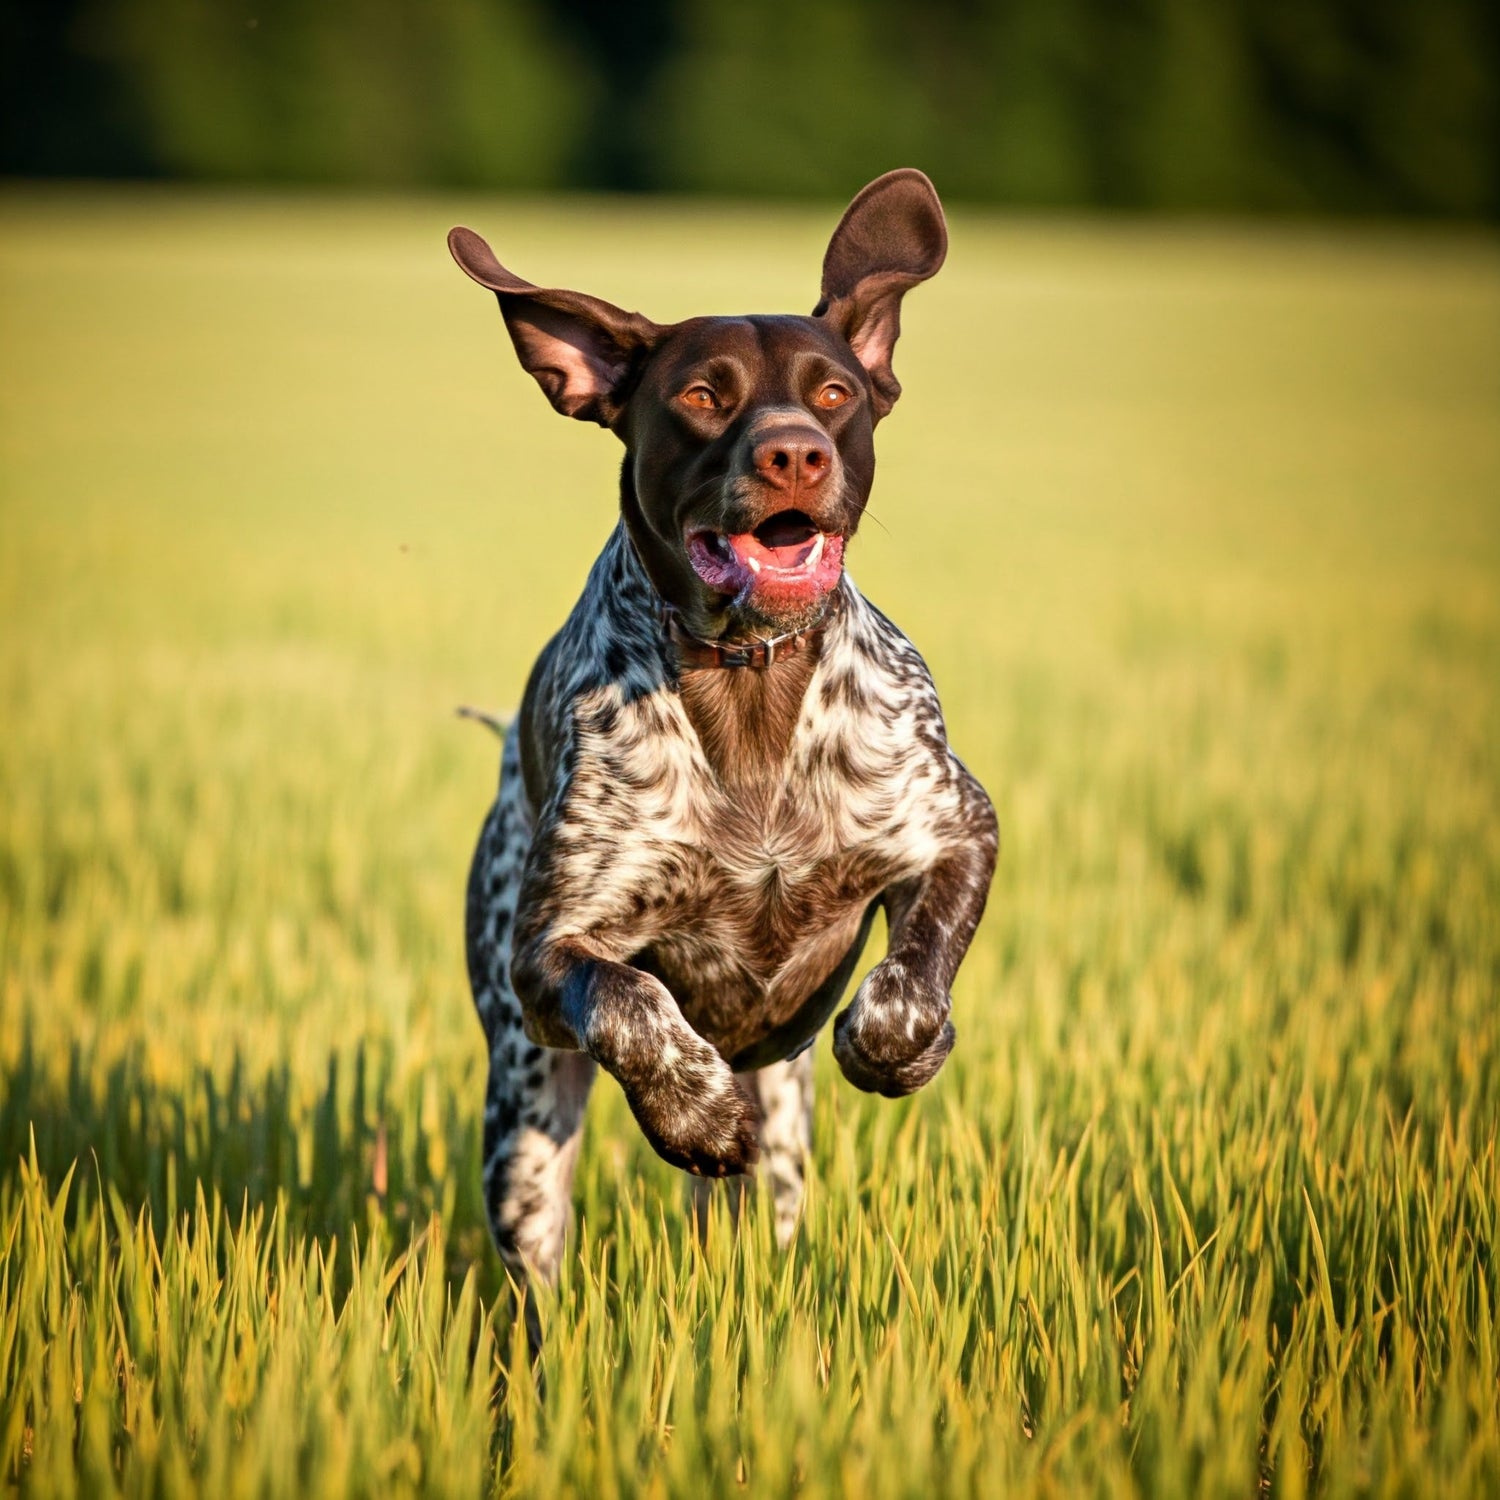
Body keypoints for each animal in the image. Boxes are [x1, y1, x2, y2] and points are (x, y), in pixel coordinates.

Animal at [450, 170, 1002, 1284]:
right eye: (702, 395)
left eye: (834, 393)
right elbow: (630, 1003)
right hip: (523, 1110)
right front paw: (694, 1114)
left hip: (778, 1124)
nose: (794, 451)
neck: (751, 679)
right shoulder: (547, 953)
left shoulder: (958, 827)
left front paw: (896, 1044)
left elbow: (913, 978)